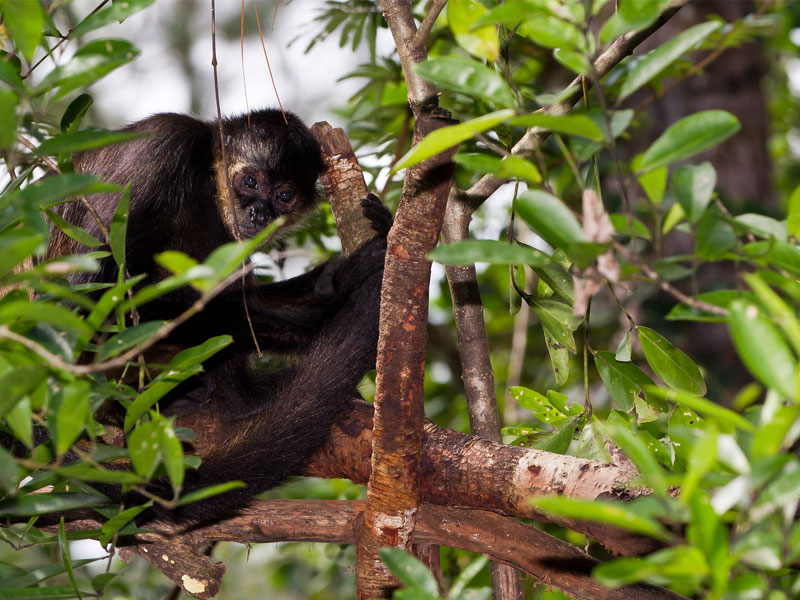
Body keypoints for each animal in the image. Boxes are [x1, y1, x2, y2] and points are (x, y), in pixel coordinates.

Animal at [47, 110, 390, 524]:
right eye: (249, 181)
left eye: (284, 196)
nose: (259, 213)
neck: (204, 180)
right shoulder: (163, 150)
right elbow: (89, 297)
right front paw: (343, 290)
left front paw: (332, 281)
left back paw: (239, 399)